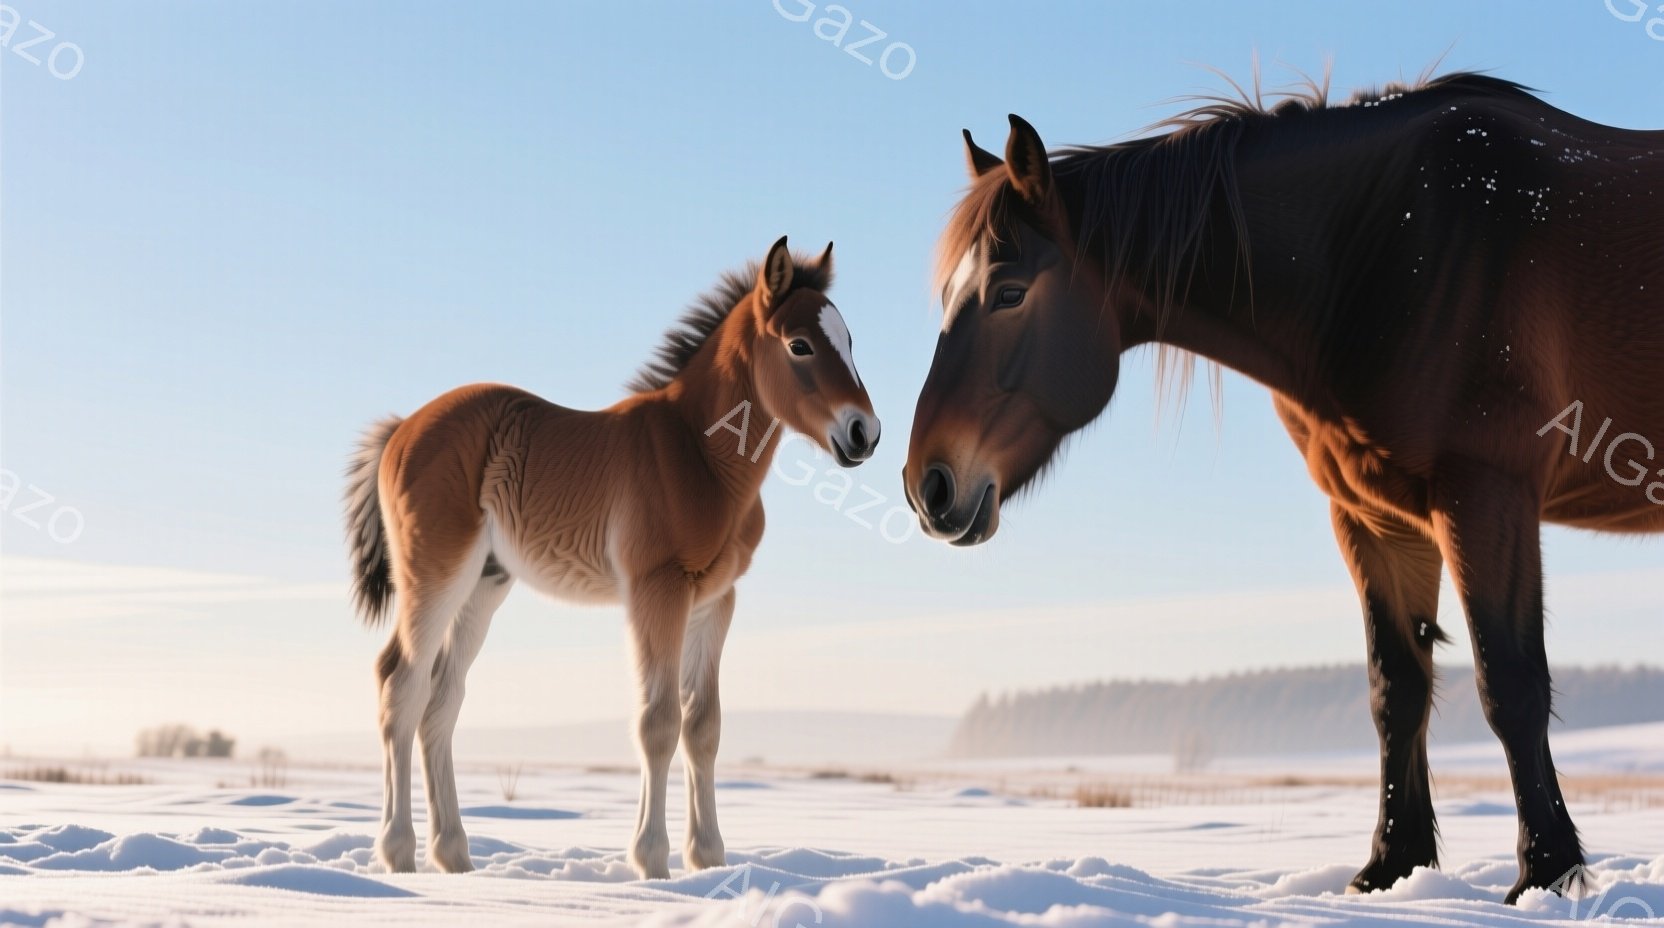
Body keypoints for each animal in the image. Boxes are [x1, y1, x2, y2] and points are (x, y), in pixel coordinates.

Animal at [344, 236, 879, 878]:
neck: (701, 455)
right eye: (799, 344)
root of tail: (402, 428)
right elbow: (658, 721)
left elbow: (703, 725)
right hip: (436, 573)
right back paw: (399, 854)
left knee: (441, 701)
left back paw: (455, 857)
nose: (865, 433)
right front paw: (652, 863)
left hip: (485, 583)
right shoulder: (657, 591)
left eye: (848, 341)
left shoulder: (716, 600)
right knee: (400, 681)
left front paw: (709, 859)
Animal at [902, 73, 1662, 902]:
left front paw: (1546, 874)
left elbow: (1510, 683)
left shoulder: (1487, 493)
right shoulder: (1375, 517)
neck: (1393, 245)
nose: (927, 485)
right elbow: (1396, 692)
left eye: (1009, 291)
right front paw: (1389, 868)